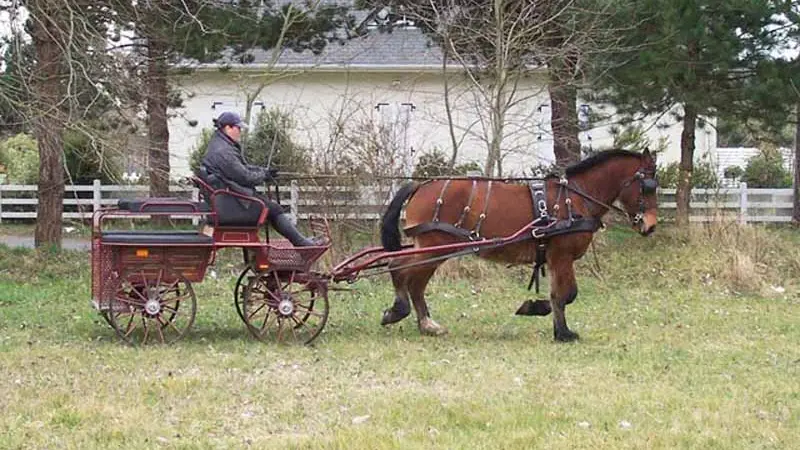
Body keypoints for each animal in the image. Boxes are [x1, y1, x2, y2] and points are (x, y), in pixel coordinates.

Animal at [378, 148, 660, 342]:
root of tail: (420, 185)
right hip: (433, 245)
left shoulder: (553, 257)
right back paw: (399, 311)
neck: (575, 199)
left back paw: (426, 324)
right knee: (398, 266)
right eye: (647, 187)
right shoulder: (562, 255)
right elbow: (566, 294)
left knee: (415, 282)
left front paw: (554, 325)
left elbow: (558, 294)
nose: (651, 225)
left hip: (434, 247)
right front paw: (560, 330)